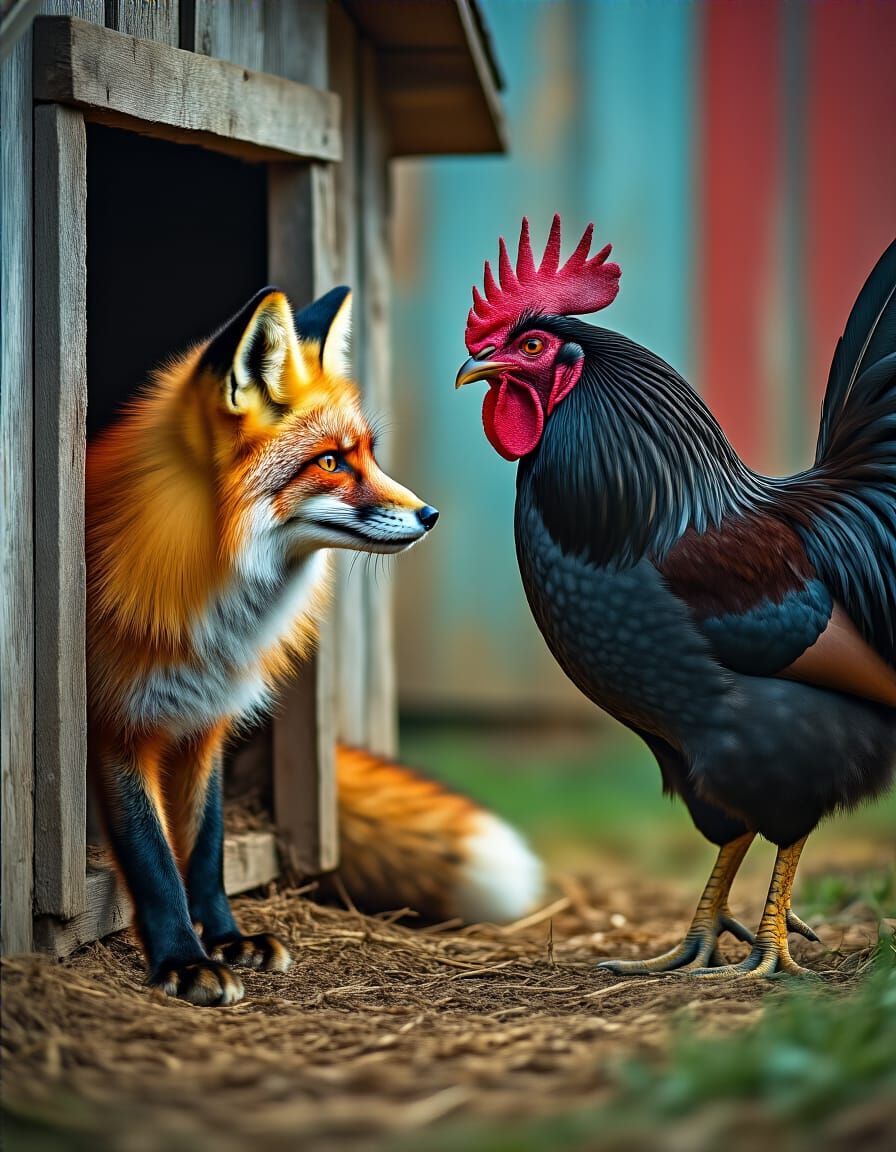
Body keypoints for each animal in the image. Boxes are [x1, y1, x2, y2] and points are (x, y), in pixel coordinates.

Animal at [87, 285, 543, 1005]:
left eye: (370, 454)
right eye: (330, 461)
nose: (430, 515)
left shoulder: (205, 721)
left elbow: (206, 846)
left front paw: (226, 938)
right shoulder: (119, 725)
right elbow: (154, 858)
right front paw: (183, 960)